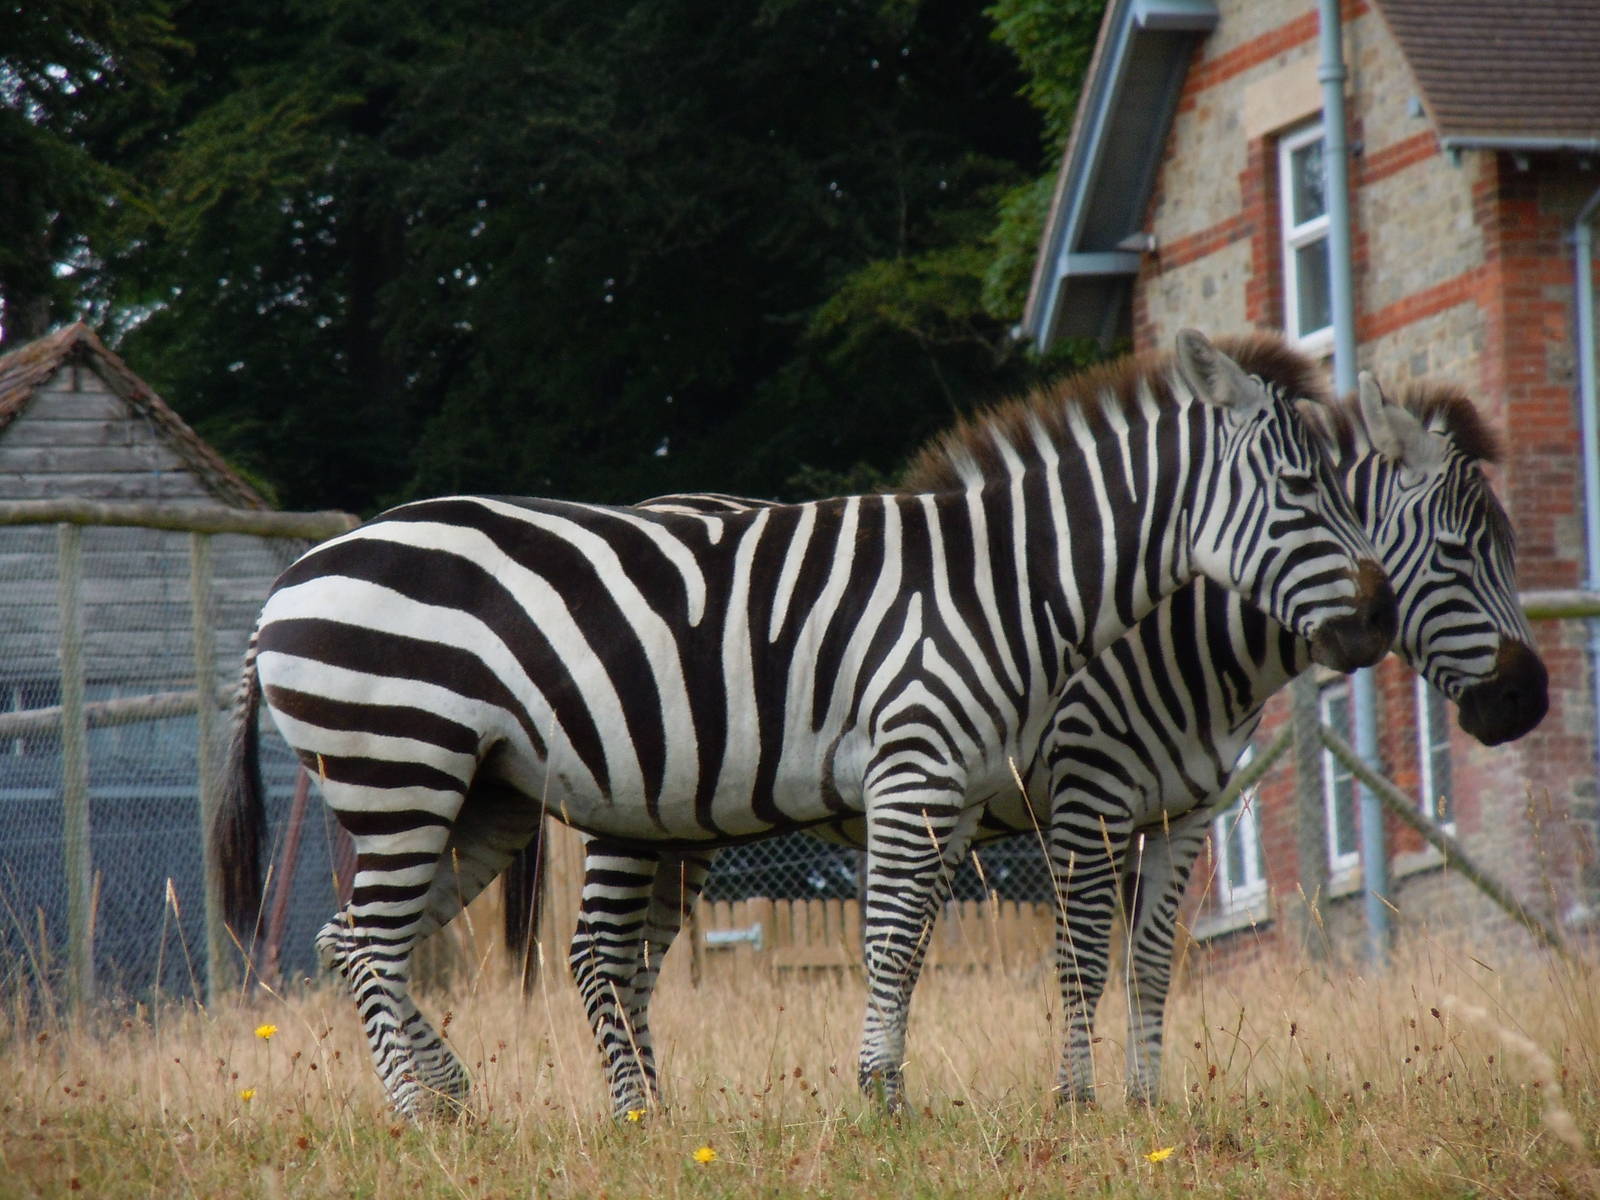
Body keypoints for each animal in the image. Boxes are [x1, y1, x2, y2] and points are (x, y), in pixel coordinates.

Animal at [212, 329, 1396, 1120]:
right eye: (1303, 488)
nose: (1378, 619)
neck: (1004, 584)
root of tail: (283, 590)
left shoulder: (958, 792)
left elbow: (922, 945)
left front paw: (890, 1091)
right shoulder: (926, 773)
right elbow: (897, 940)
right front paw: (884, 1102)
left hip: (481, 799)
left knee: (354, 937)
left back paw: (462, 1098)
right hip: (402, 771)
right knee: (375, 941)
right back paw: (424, 1116)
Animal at [538, 350, 1544, 1114]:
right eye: (1461, 550)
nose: (1528, 700)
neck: (1173, 633)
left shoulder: (1184, 813)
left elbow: (1151, 962)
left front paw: (1146, 1103)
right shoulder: (1086, 793)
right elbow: (1083, 954)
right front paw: (1078, 1104)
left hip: (686, 818)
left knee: (639, 959)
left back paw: (663, 1115)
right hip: (630, 807)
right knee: (597, 954)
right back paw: (637, 1118)